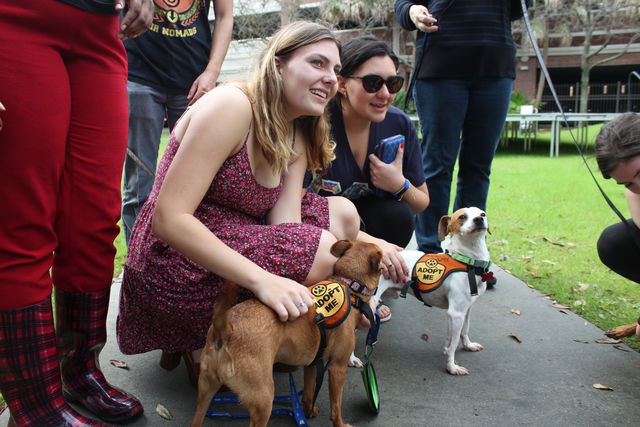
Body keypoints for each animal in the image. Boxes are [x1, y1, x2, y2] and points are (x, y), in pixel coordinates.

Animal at [189, 241, 380, 427]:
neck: (349, 286)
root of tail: (225, 330)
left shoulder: (312, 364)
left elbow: (309, 392)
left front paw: (308, 411)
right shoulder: (337, 368)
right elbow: (336, 407)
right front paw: (340, 424)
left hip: (205, 391)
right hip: (263, 400)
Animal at [368, 209, 492, 376]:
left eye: (483, 213)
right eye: (462, 217)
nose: (479, 219)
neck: (468, 263)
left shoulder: (464, 310)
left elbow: (463, 331)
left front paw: (467, 345)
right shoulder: (456, 313)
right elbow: (453, 344)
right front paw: (452, 367)